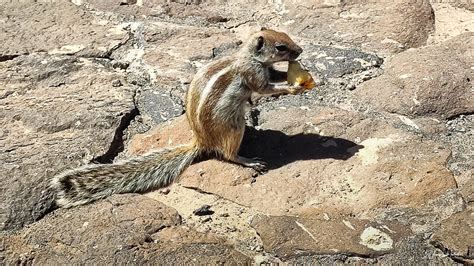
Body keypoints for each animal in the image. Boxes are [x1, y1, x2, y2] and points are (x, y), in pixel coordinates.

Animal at [51, 28, 304, 208]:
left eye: (286, 35)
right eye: (281, 47)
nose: (300, 50)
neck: (249, 57)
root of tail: (201, 141)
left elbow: (276, 75)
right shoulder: (253, 74)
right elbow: (264, 88)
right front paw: (292, 87)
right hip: (234, 127)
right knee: (227, 154)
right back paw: (248, 160)